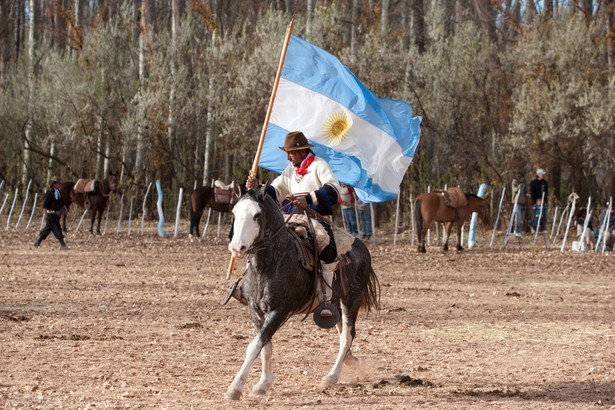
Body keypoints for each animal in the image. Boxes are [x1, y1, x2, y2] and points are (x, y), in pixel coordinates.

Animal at [226, 186, 380, 400]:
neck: (270, 262)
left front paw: (236, 387)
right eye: (234, 213)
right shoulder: (255, 311)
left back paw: (331, 377)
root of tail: (362, 247)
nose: (236, 247)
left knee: (346, 337)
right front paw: (263, 384)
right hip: (334, 303)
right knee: (343, 332)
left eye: (256, 215)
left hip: (352, 299)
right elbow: (265, 346)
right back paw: (350, 360)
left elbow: (255, 345)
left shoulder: (279, 311)